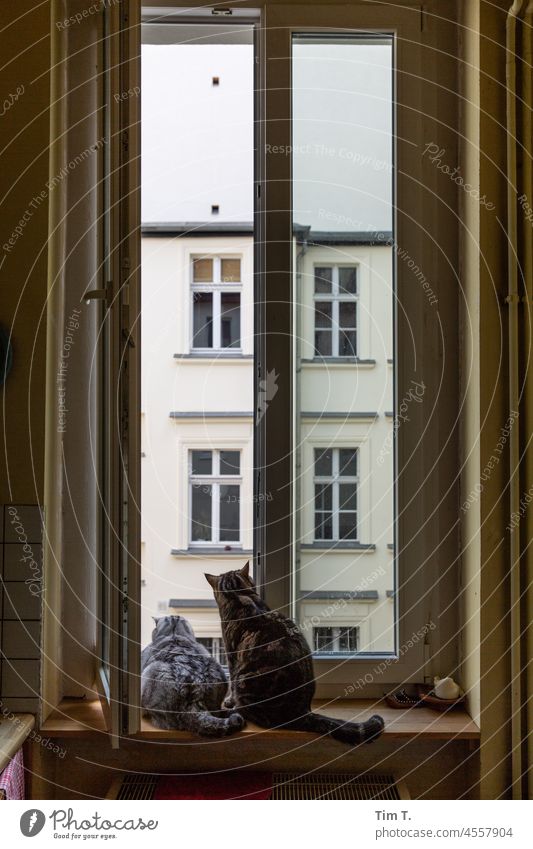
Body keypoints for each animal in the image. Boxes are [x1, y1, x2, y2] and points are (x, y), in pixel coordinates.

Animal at [206, 568, 384, 744]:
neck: (238, 594)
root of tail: (301, 712)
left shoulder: (231, 654)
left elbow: (231, 681)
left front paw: (229, 701)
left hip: (245, 679)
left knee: (255, 713)